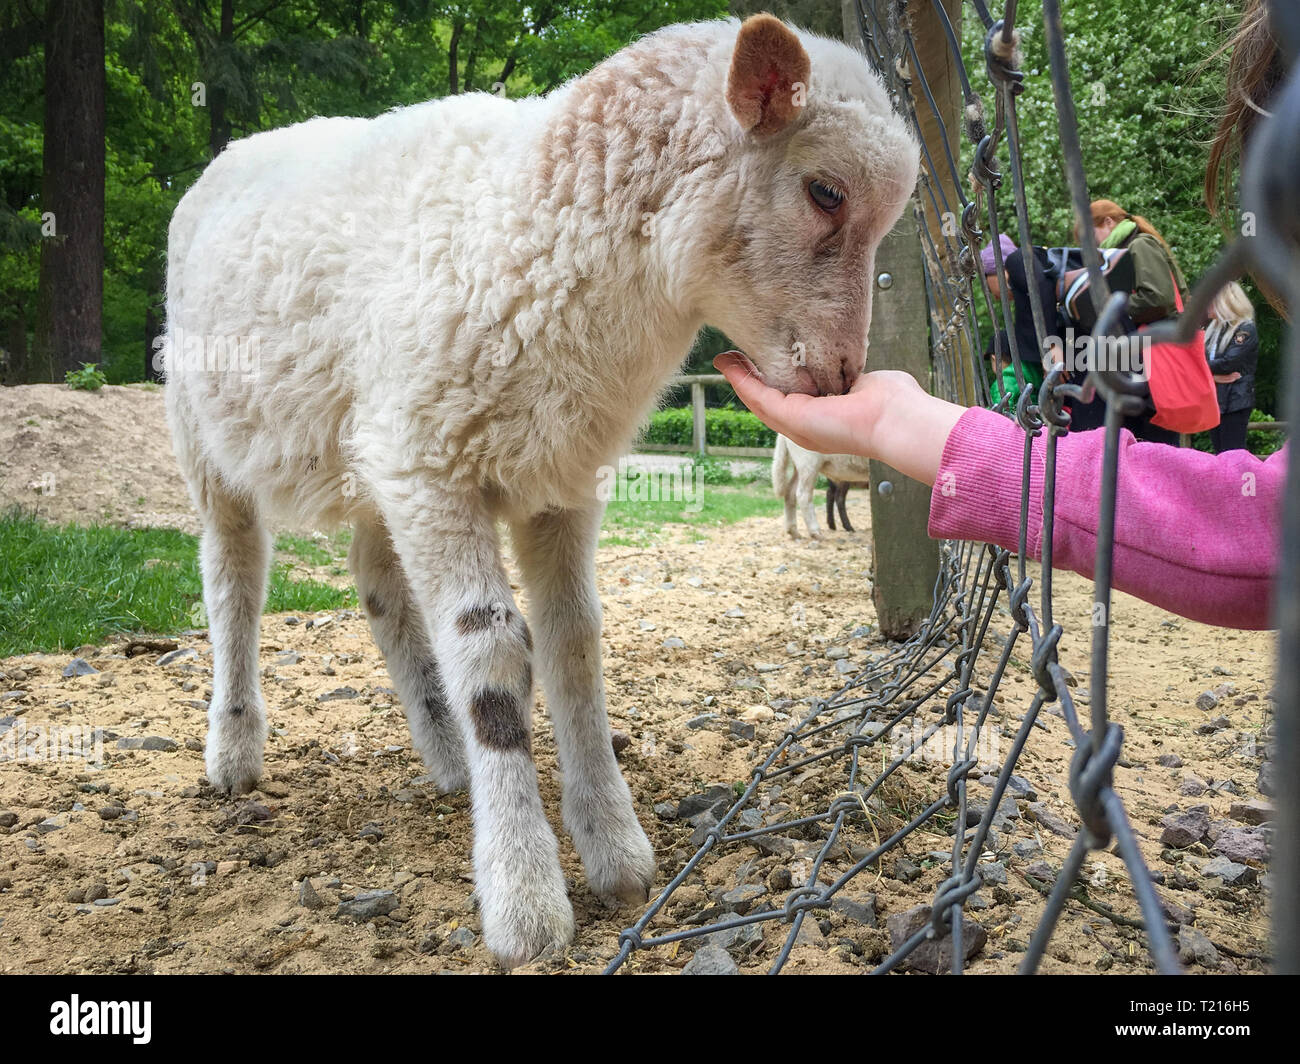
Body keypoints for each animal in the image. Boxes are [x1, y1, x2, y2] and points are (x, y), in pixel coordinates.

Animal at [165, 14, 915, 962]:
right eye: (824, 191)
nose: (840, 379)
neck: (535, 224)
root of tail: (234, 152)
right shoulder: (435, 467)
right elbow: (492, 659)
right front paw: (524, 897)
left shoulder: (555, 478)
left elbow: (573, 645)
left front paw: (615, 847)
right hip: (209, 432)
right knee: (234, 580)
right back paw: (234, 749)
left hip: (375, 452)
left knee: (380, 585)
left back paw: (445, 752)